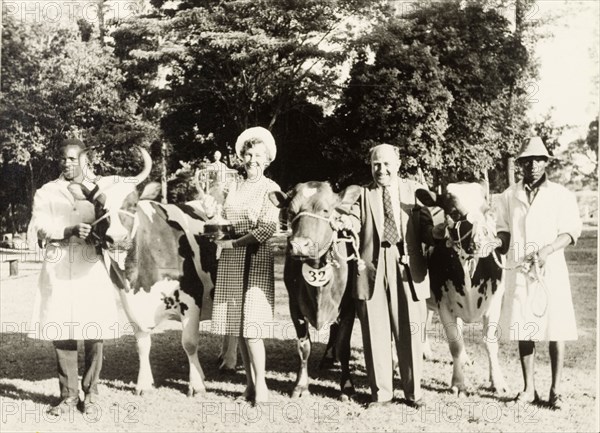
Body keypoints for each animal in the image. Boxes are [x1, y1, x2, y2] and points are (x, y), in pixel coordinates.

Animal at [69, 150, 218, 396]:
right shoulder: (129, 301)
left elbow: (189, 343)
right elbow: (142, 344)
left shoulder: (191, 297)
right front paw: (144, 383)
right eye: (99, 205)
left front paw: (196, 385)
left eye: (132, 204)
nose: (117, 239)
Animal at [270, 180, 360, 398]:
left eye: (325, 210)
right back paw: (328, 358)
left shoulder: (349, 307)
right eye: (291, 212)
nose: (299, 246)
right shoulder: (295, 307)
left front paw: (347, 386)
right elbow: (304, 347)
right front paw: (301, 386)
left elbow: (344, 346)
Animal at [414, 181, 508, 396]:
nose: (479, 243)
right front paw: (458, 383)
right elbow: (455, 343)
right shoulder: (443, 304)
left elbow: (490, 343)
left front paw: (497, 381)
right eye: (454, 212)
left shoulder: (495, 303)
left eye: (486, 210)